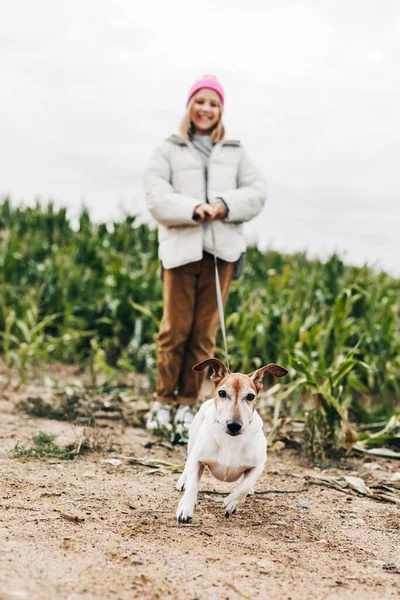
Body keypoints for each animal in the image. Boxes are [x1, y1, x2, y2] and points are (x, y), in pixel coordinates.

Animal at [176, 358, 288, 524]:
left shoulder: (259, 465)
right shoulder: (197, 459)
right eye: (222, 393)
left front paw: (232, 502)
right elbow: (193, 485)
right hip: (192, 442)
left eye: (250, 396)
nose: (234, 425)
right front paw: (186, 508)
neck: (230, 439)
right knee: (188, 465)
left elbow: (245, 485)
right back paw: (184, 481)